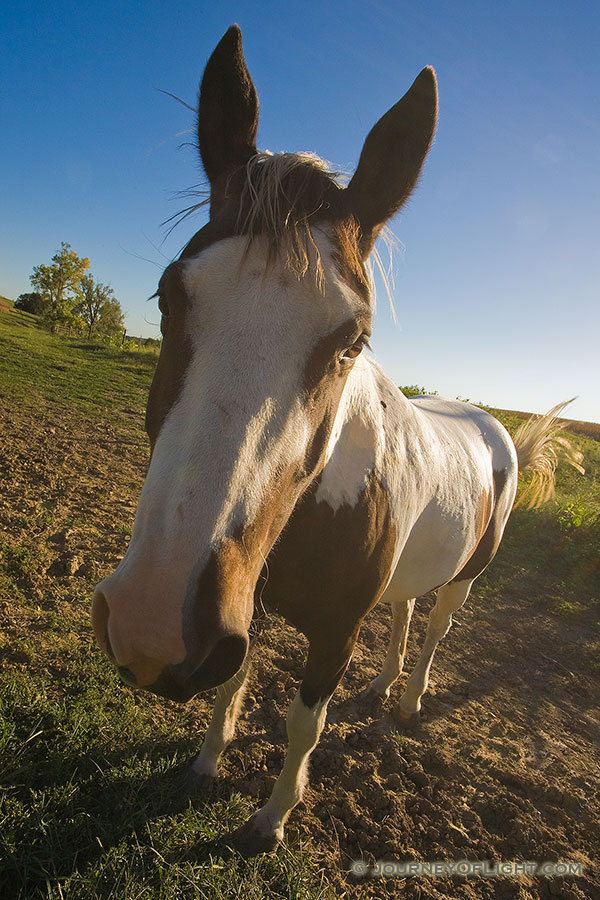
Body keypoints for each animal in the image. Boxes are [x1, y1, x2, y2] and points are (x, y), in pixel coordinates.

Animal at [91, 26, 584, 856]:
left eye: (354, 340)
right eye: (168, 294)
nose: (155, 626)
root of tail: (492, 426)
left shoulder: (331, 632)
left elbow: (304, 721)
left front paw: (271, 818)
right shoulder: (240, 603)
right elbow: (233, 679)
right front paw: (206, 762)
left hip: (468, 575)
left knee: (436, 628)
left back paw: (407, 702)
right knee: (406, 612)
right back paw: (384, 686)